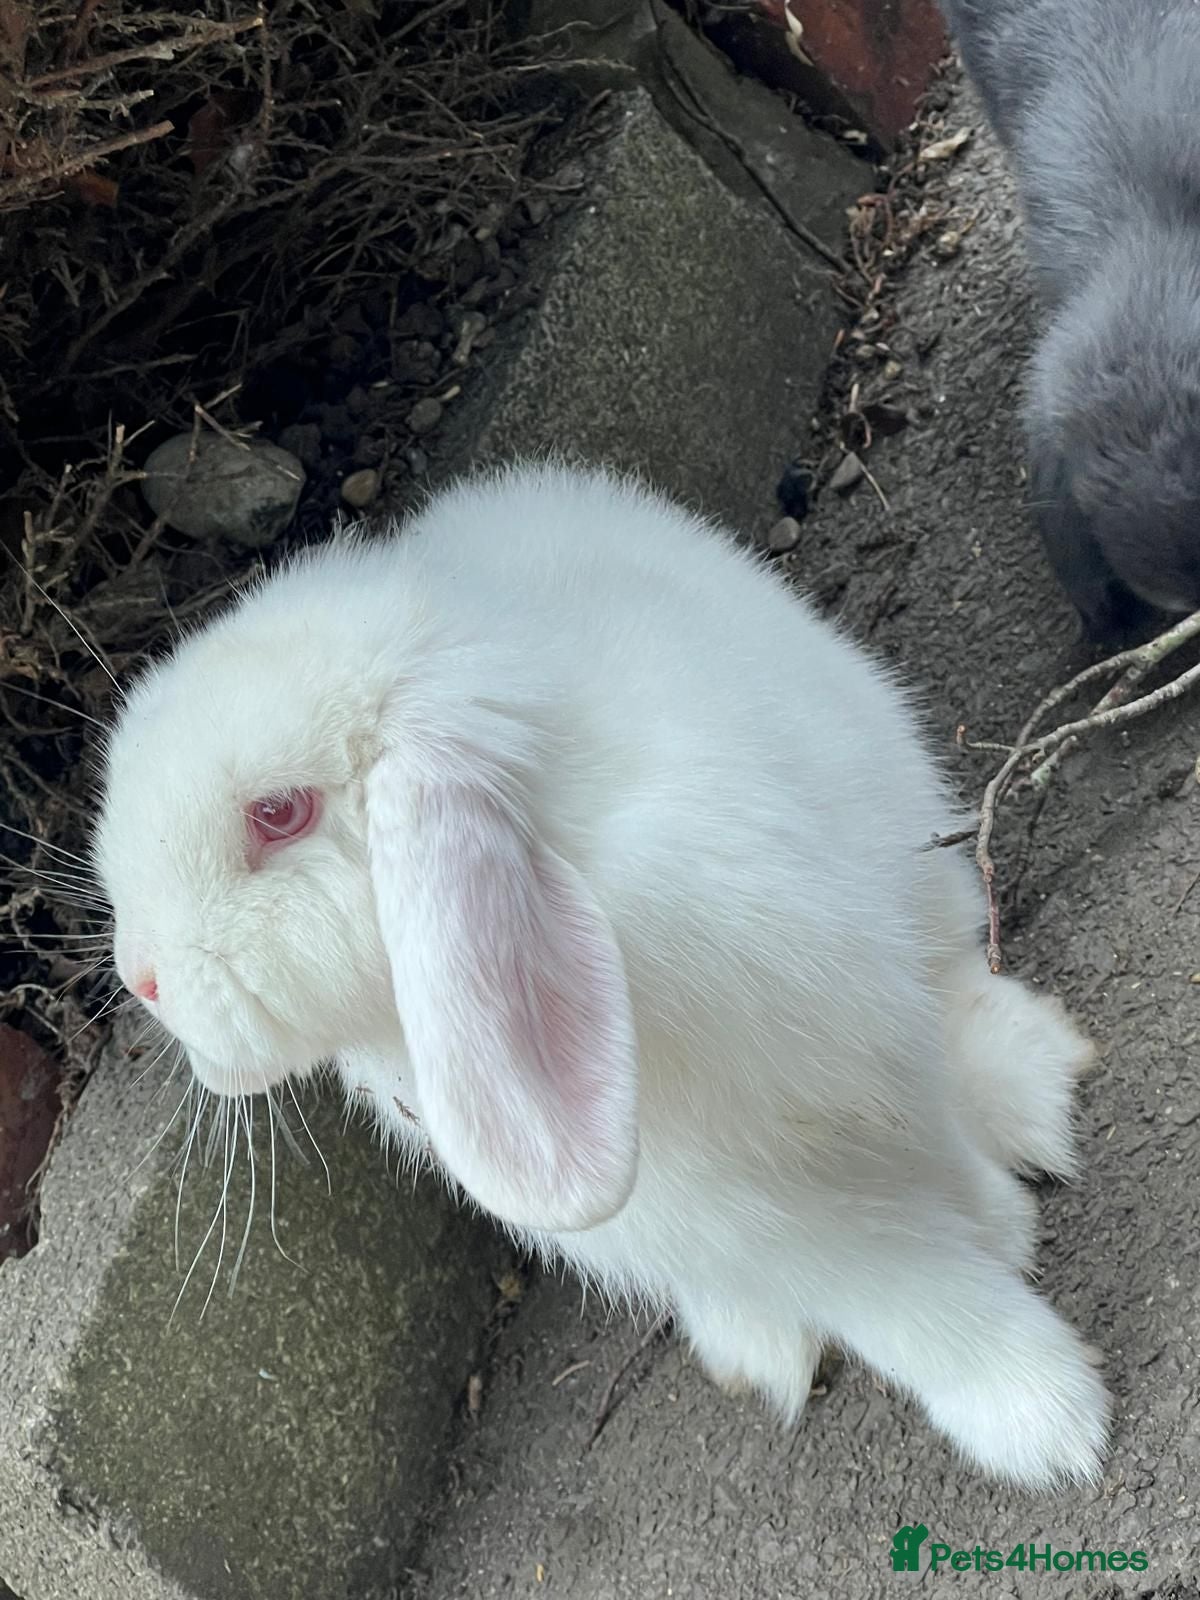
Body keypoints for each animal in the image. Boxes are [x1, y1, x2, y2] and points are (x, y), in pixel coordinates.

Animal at [95, 461, 1108, 1489]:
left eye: (277, 813)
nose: (140, 977)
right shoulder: (752, 1219)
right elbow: (906, 1300)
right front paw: (1041, 1416)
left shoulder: (857, 1046)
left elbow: (936, 1162)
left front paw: (1048, 1389)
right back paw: (756, 1348)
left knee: (957, 975)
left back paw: (1032, 1090)